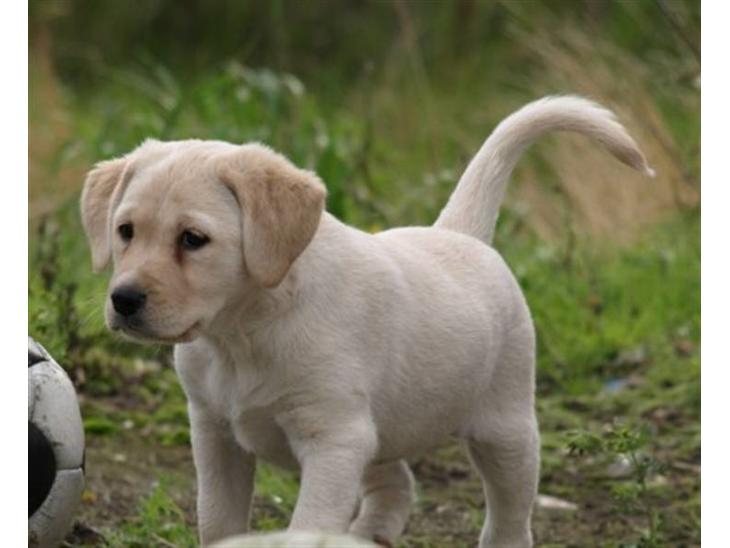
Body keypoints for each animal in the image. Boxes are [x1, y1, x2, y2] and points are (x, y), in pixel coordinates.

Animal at [81, 96, 652, 547]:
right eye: (125, 231)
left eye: (193, 239)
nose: (124, 299)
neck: (244, 332)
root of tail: (459, 233)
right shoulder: (215, 433)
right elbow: (217, 521)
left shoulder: (333, 439)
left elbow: (304, 527)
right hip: (383, 423)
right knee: (396, 480)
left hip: (506, 428)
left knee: (509, 516)